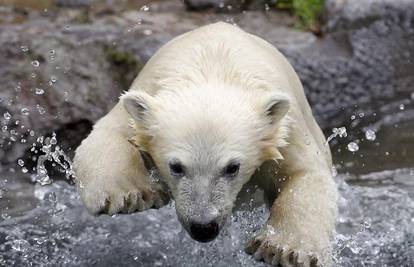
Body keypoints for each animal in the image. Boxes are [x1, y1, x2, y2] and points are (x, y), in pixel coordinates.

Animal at [73, 22, 336, 266]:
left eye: (232, 167)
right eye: (176, 166)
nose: (204, 227)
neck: (212, 70)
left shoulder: (283, 129)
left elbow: (305, 173)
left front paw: (283, 250)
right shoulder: (147, 99)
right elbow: (110, 133)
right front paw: (131, 195)